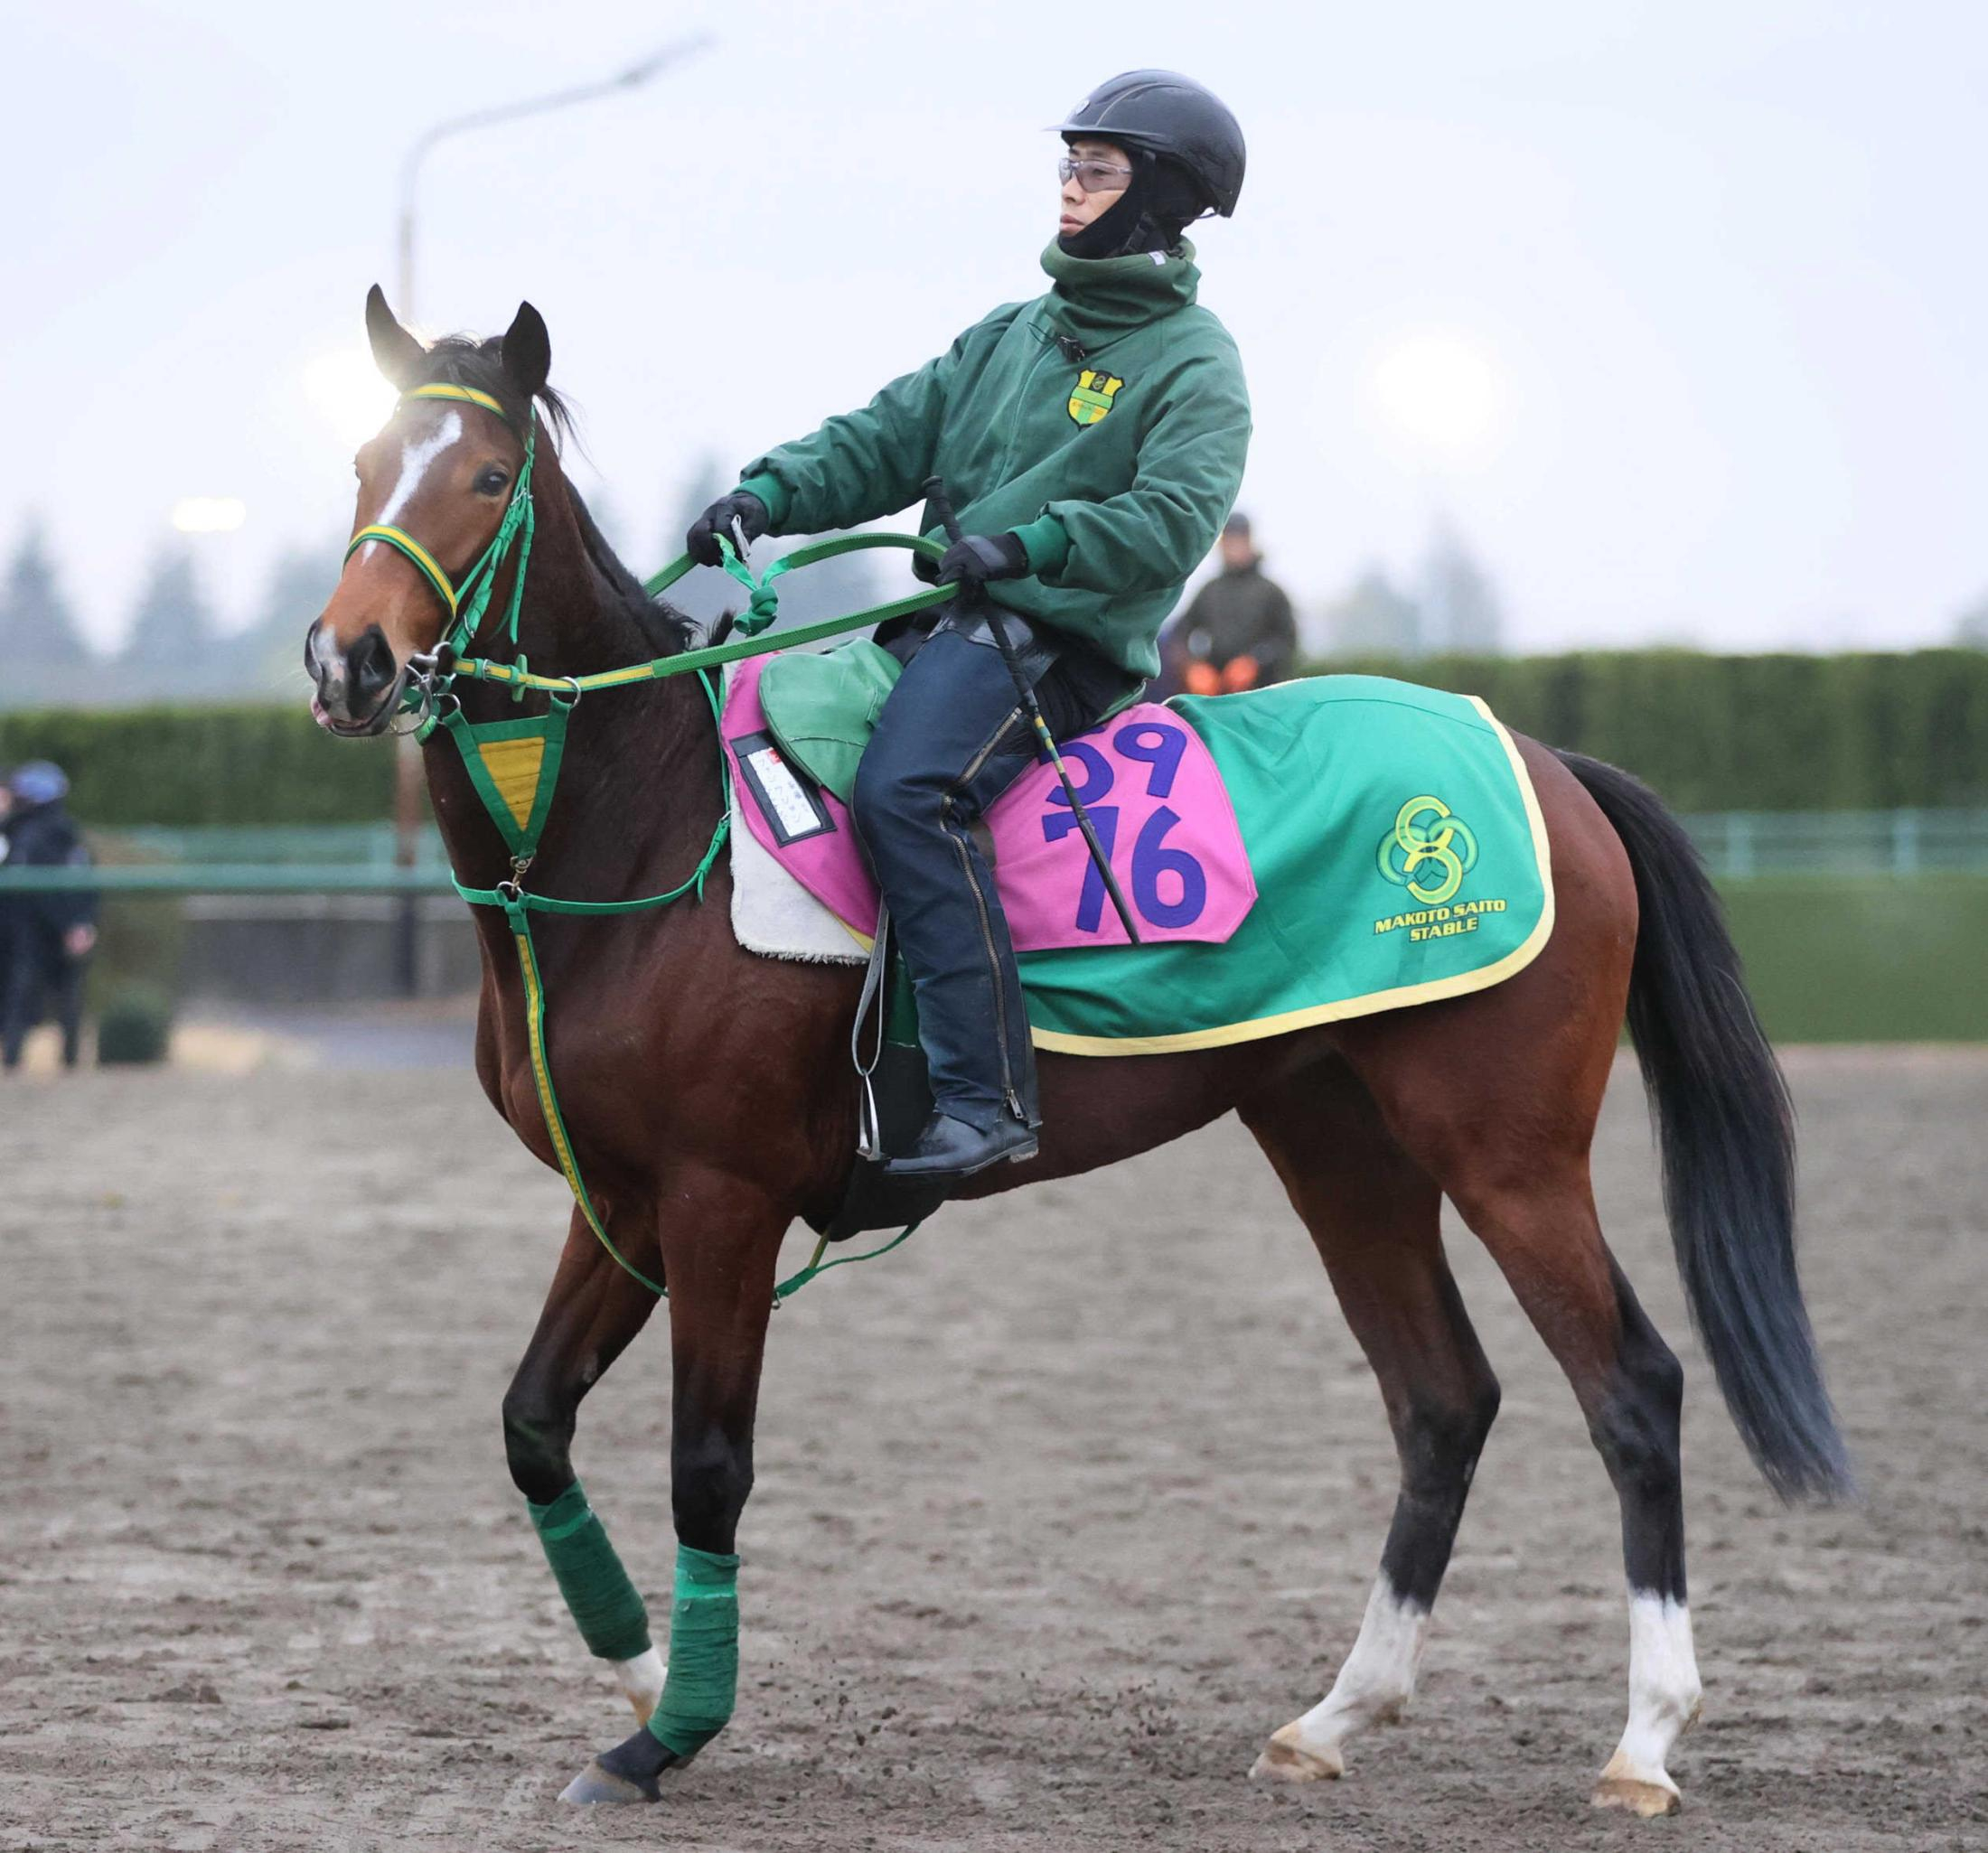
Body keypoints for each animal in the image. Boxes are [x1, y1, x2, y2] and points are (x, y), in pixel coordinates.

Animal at [303, 289, 1850, 1817]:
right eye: (364, 462)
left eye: (486, 478)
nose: (349, 659)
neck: (650, 823)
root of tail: (1546, 766)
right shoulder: (619, 1197)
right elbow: (532, 1420)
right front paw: (637, 1672)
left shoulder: (719, 1199)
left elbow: (705, 1465)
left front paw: (671, 1724)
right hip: (1340, 1140)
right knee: (1442, 1398)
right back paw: (1336, 1714)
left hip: (1508, 1153)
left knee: (1633, 1389)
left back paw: (1646, 1737)